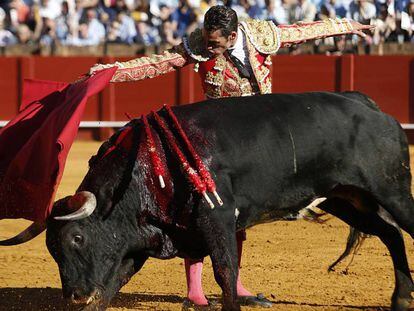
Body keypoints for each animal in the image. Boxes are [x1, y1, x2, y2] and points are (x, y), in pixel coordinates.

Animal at [44, 91, 414, 310]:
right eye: (53, 250)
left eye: (77, 238)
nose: (74, 295)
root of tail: (370, 106)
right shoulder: (142, 236)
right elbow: (113, 283)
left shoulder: (217, 216)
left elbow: (225, 270)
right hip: (345, 198)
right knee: (391, 234)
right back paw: (401, 299)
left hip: (391, 190)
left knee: (401, 228)